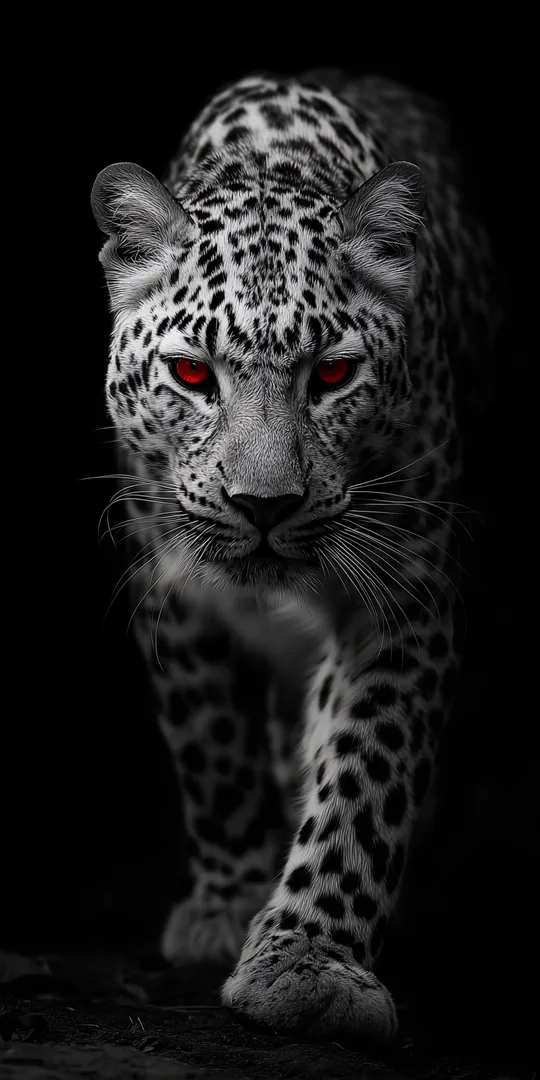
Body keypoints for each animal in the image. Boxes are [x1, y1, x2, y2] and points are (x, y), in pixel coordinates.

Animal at [91, 69, 500, 1046]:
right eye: (192, 375)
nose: (265, 506)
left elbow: (366, 774)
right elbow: (213, 749)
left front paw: (307, 965)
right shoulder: (172, 590)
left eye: (334, 376)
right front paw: (227, 904)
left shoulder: (407, 594)